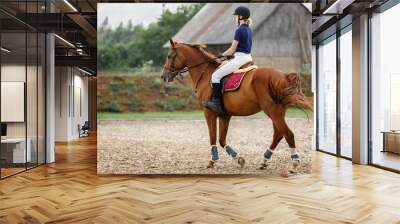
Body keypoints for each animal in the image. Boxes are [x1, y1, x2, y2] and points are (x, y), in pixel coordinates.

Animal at [161, 39, 310, 172]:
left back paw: (294, 163)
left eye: (169, 56)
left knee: (288, 134)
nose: (163, 76)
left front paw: (212, 160)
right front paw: (239, 159)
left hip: (272, 111)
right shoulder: (224, 115)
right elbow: (221, 139)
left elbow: (212, 137)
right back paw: (264, 161)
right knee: (278, 134)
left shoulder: (209, 113)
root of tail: (283, 76)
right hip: (277, 111)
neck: (206, 74)